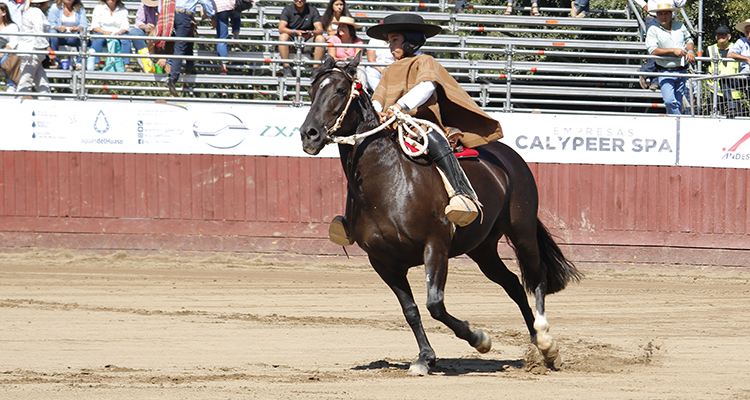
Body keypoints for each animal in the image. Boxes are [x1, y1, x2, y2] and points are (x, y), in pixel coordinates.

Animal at [300, 54, 580, 376]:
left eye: (340, 90)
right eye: (311, 90)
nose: (309, 134)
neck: (388, 180)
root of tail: (510, 158)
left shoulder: (435, 247)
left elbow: (435, 304)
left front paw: (480, 339)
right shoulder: (383, 262)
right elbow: (411, 310)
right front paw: (425, 357)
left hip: (521, 231)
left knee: (536, 277)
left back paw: (546, 341)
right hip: (483, 248)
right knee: (512, 284)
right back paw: (539, 346)